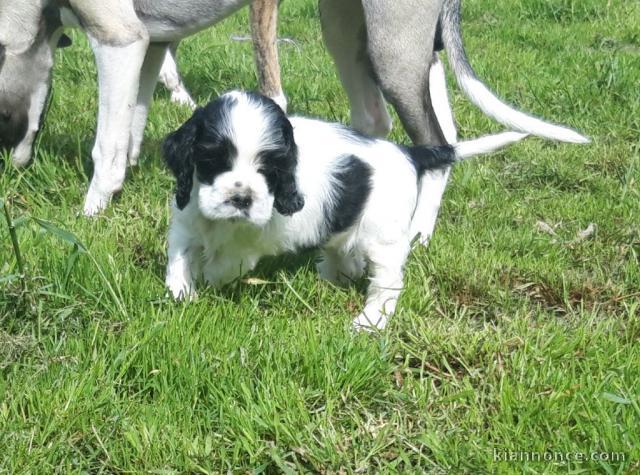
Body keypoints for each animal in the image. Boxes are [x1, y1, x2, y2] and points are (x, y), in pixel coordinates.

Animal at [0, 0, 588, 234]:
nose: (14, 167)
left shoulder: (120, 38)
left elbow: (107, 142)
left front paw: (92, 211)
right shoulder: (152, 42)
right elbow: (133, 124)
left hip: (392, 48)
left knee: (436, 141)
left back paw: (419, 227)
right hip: (345, 27)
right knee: (374, 120)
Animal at [162, 91, 528, 330]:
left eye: (270, 170)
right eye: (213, 160)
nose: (241, 198)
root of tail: (410, 153)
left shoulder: (253, 239)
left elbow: (227, 261)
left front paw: (206, 280)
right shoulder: (185, 221)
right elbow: (181, 256)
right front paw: (181, 293)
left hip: (384, 239)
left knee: (388, 282)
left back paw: (370, 321)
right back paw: (331, 277)